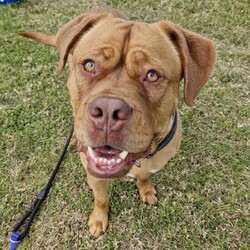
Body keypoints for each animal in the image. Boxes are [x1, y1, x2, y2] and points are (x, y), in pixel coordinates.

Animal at [19, 7, 215, 238]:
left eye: (152, 75)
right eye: (89, 65)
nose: (108, 110)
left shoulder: (151, 166)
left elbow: (144, 178)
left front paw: (146, 189)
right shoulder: (94, 176)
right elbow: (101, 199)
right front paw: (98, 220)